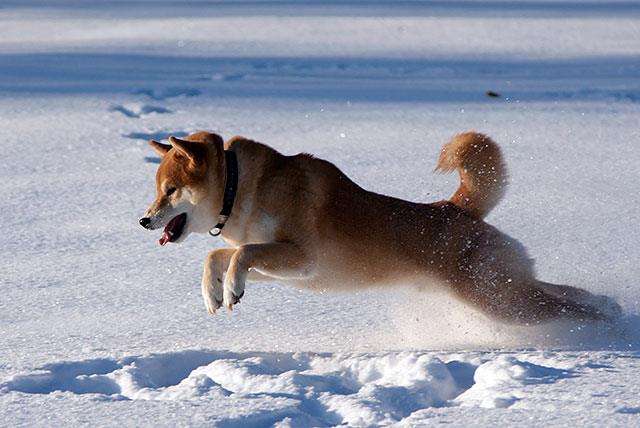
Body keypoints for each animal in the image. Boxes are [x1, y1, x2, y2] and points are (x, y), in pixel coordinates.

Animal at [141, 130, 620, 324]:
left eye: (169, 190)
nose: (144, 220)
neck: (240, 188)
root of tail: (456, 209)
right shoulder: (281, 267)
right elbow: (218, 255)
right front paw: (218, 294)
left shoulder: (303, 258)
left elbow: (240, 253)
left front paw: (229, 288)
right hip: (504, 287)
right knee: (563, 293)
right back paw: (611, 308)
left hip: (497, 299)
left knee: (564, 306)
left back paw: (607, 327)